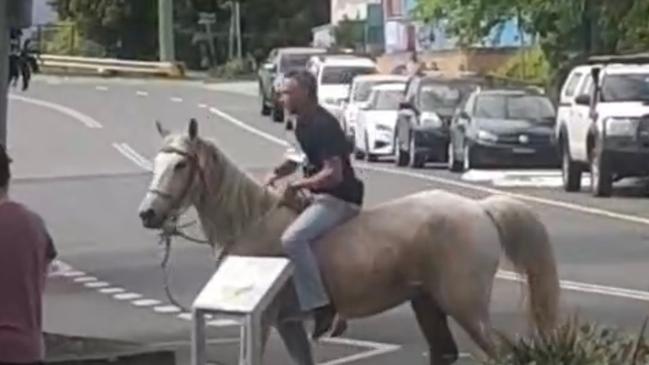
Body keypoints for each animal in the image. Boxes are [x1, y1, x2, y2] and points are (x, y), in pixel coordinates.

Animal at [139, 119, 560, 364]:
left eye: (180, 164)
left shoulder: (264, 319)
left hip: (466, 307)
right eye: (157, 162)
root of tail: (480, 209)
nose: (148, 214)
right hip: (428, 305)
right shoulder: (290, 324)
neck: (251, 223)